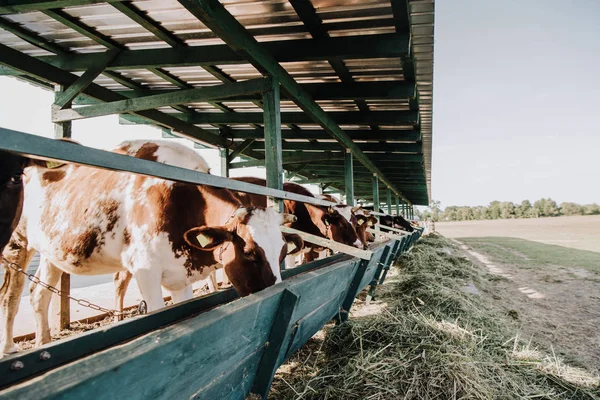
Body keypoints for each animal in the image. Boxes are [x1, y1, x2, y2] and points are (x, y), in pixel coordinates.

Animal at [0, 141, 300, 354]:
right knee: (11, 296)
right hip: (17, 242)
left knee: (39, 293)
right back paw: (9, 347)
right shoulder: (145, 269)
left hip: (52, 250)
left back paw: (44, 343)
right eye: (250, 253)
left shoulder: (180, 273)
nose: (274, 291)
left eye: (282, 254)